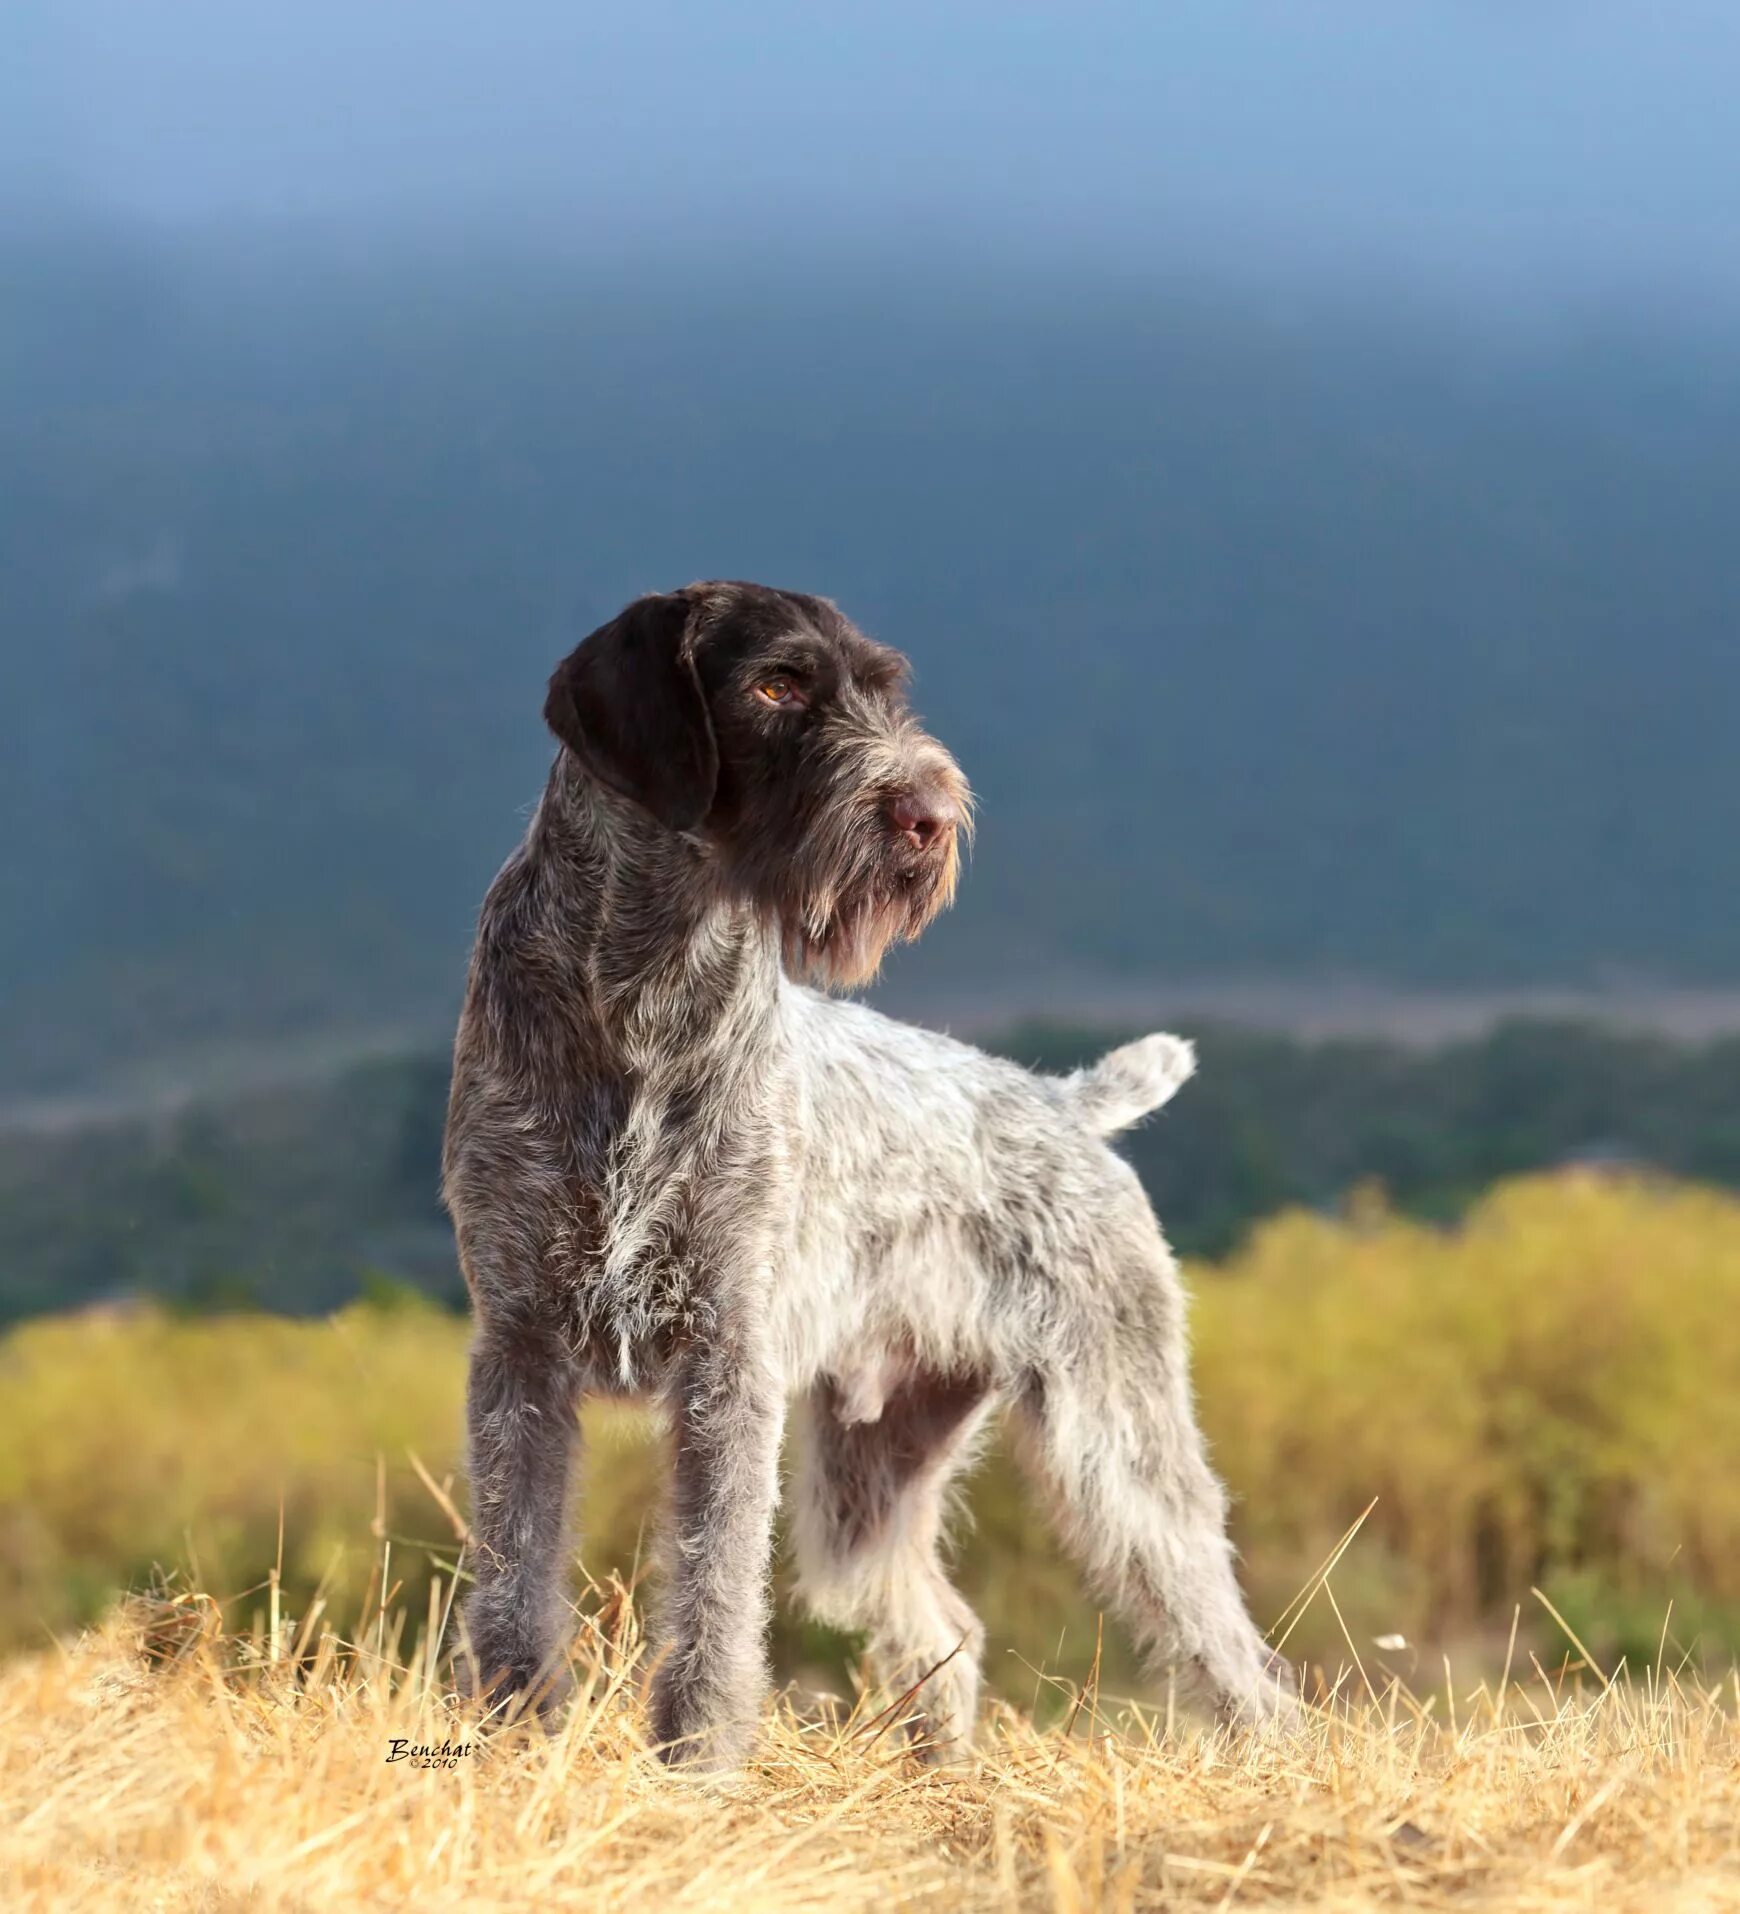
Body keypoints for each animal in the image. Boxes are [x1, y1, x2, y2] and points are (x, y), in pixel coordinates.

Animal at [447, 581, 1286, 1760]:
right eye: (773, 687)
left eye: (887, 691)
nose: (930, 813)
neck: (643, 993)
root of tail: (1071, 1109)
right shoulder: (520, 1350)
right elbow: (515, 1573)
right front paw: (513, 1734)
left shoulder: (725, 1360)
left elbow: (714, 1589)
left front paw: (699, 1758)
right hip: (872, 1472)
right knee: (946, 1631)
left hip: (1115, 1447)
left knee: (1233, 1654)